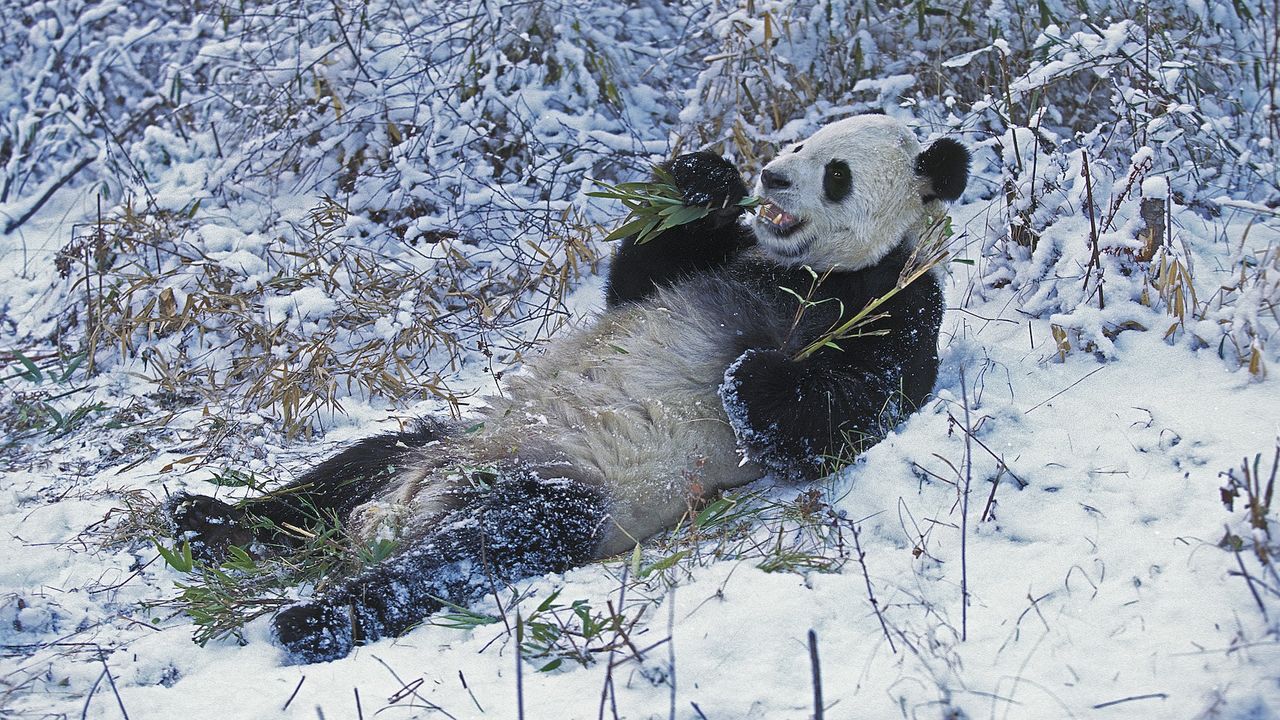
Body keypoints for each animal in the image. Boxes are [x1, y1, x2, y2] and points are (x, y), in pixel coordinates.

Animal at [166, 113, 969, 664]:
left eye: (835, 173)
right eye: (798, 145)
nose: (770, 177)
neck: (800, 269)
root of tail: (410, 504)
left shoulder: (892, 298)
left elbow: (848, 411)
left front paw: (752, 375)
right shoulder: (726, 261)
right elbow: (639, 277)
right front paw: (705, 179)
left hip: (566, 490)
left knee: (474, 548)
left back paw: (312, 619)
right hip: (445, 441)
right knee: (346, 472)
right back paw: (208, 520)